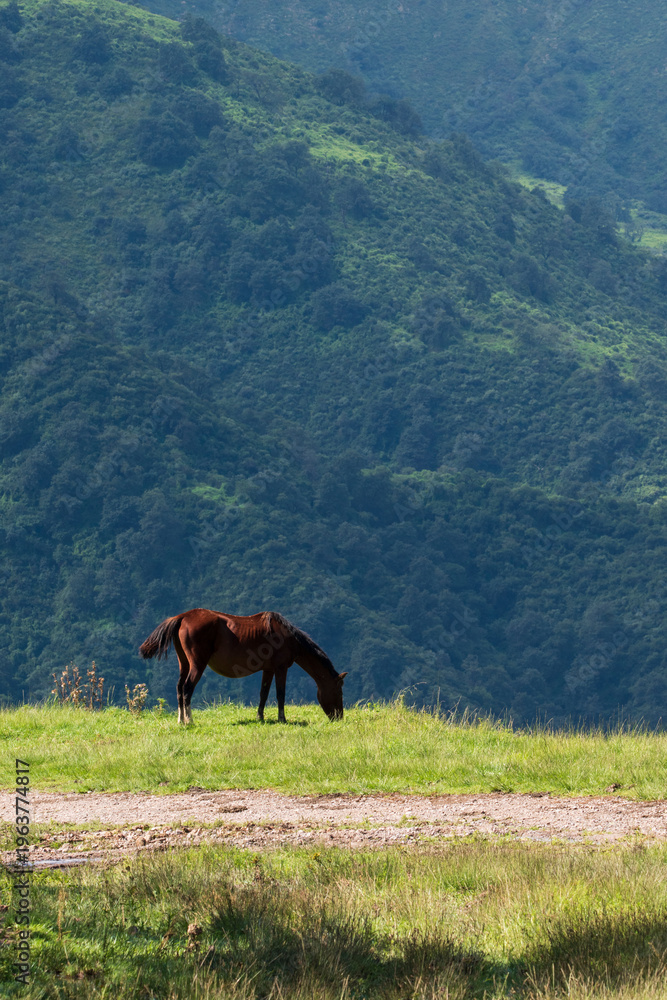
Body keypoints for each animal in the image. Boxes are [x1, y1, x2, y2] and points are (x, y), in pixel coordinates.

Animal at [139, 608, 347, 724]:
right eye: (339, 692)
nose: (339, 717)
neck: (287, 638)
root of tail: (182, 617)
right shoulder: (281, 668)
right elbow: (280, 694)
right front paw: (282, 719)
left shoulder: (268, 669)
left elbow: (264, 694)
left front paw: (260, 718)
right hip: (197, 665)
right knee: (187, 689)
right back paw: (189, 720)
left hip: (184, 663)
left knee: (180, 687)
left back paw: (181, 720)